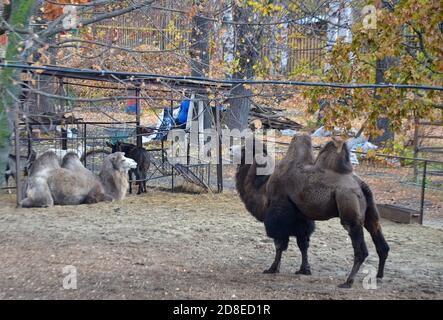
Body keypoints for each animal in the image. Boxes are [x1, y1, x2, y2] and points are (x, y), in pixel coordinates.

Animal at [234, 135, 390, 288]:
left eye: (244, 148)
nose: (231, 150)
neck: (263, 189)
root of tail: (360, 184)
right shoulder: (302, 218)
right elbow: (303, 244)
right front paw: (304, 269)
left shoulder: (279, 214)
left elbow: (280, 245)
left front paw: (272, 268)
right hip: (370, 210)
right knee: (379, 239)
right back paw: (379, 276)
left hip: (348, 203)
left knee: (360, 247)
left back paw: (348, 281)